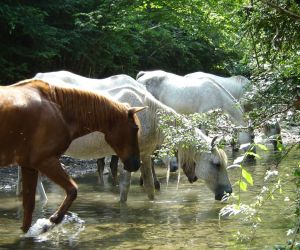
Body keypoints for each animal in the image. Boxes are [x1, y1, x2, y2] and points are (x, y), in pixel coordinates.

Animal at [0, 78, 145, 232]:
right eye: (135, 128)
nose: (136, 163)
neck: (59, 111)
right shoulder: (45, 161)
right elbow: (72, 190)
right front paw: (54, 219)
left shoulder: (29, 166)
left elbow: (28, 207)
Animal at [19, 72, 232, 201]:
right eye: (216, 164)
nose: (229, 192)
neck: (148, 114)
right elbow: (125, 187)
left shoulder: (144, 155)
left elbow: (149, 187)